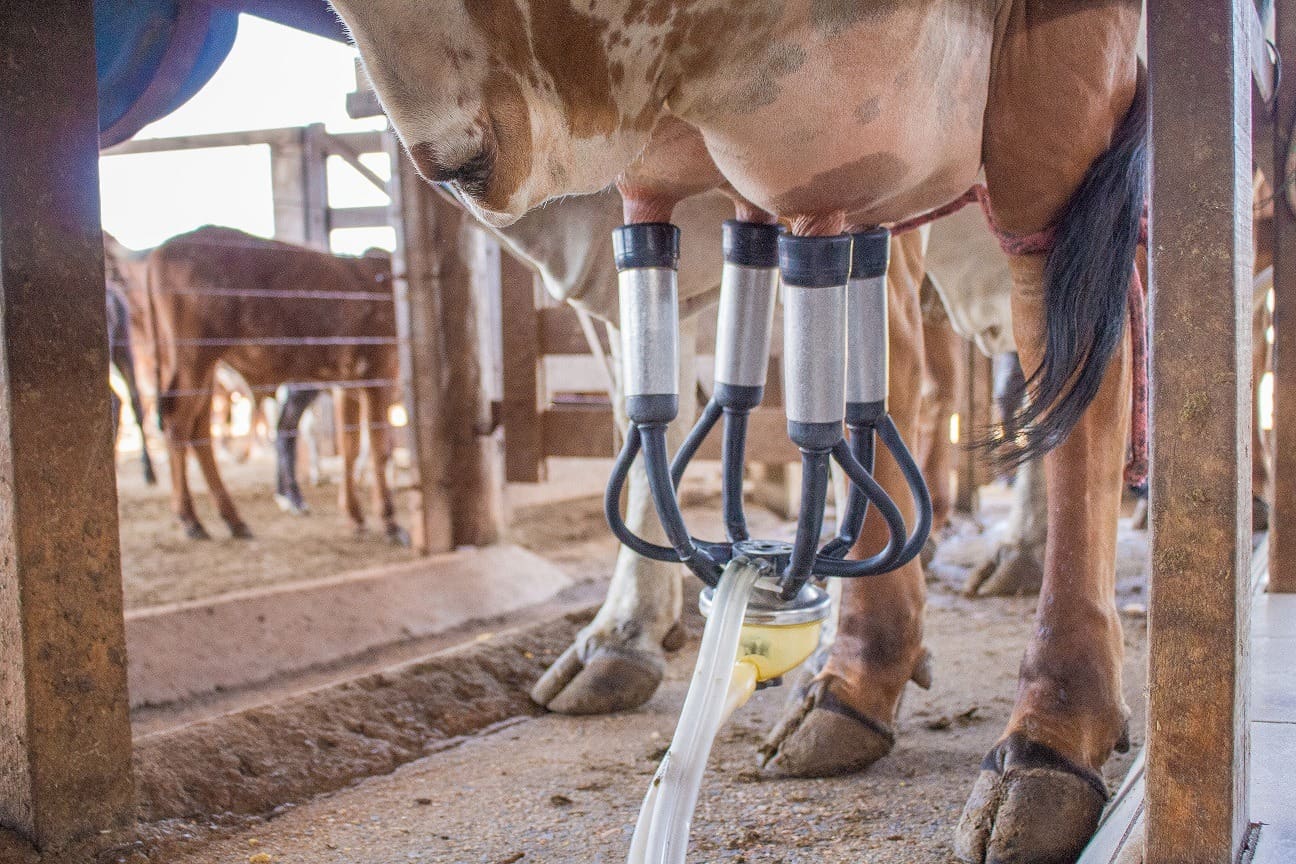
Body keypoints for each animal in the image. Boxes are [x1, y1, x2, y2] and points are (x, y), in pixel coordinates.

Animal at [111, 226, 404, 544]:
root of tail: (163, 250)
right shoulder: (379, 374)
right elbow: (380, 448)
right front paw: (389, 520)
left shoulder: (348, 385)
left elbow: (350, 446)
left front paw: (354, 515)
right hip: (193, 357)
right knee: (178, 423)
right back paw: (191, 519)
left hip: (201, 366)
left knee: (199, 430)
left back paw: (233, 519)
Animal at [331, 3, 1145, 860]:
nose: (453, 156)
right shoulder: (799, 178)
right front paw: (841, 688)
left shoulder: (1060, 99)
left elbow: (1081, 383)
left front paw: (1048, 743)